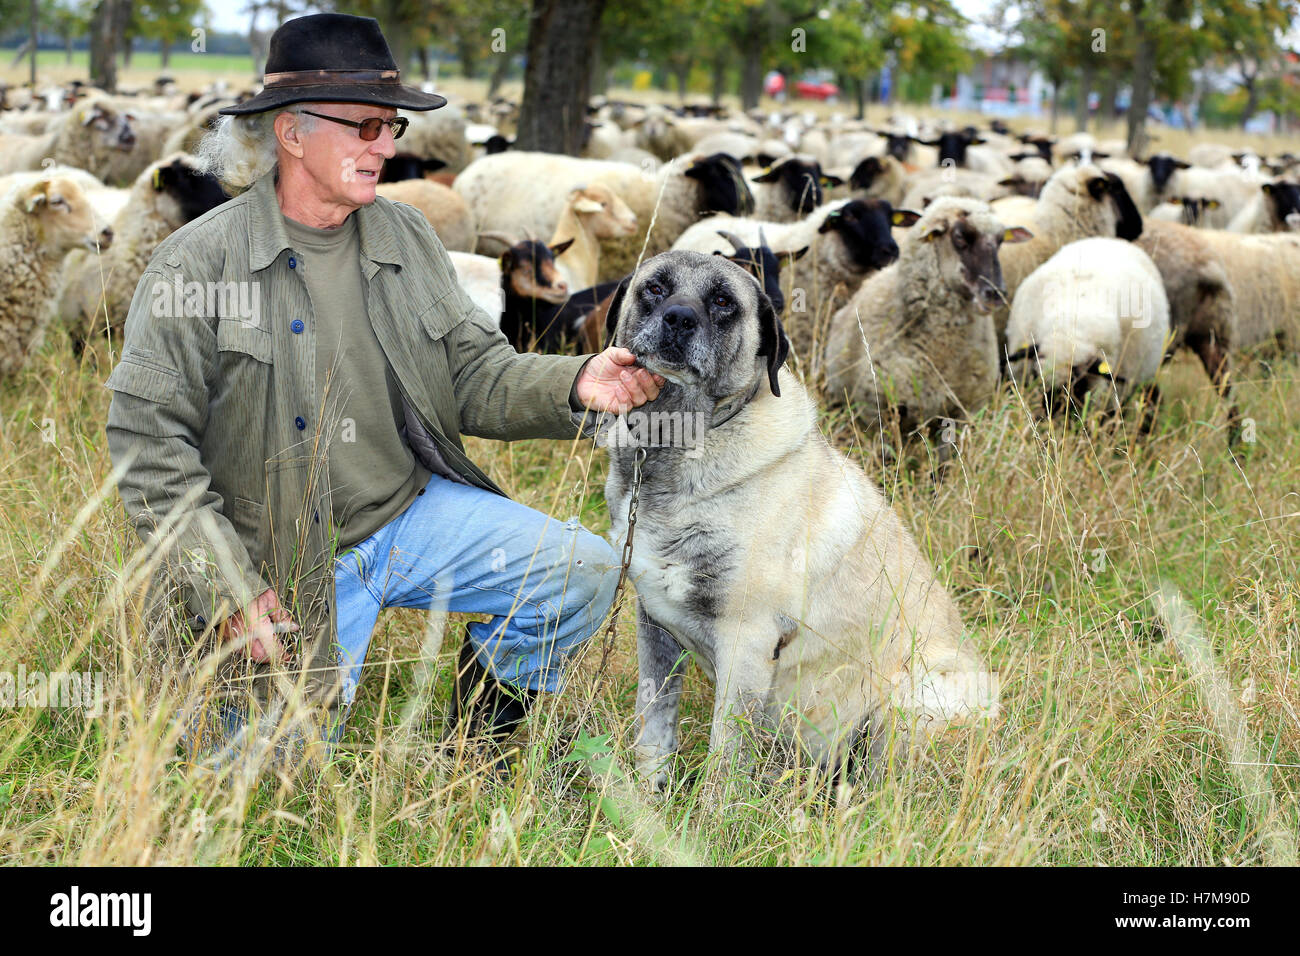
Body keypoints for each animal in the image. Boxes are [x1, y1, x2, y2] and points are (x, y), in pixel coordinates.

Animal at [595, 251, 998, 790]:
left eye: (723, 301)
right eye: (655, 288)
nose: (678, 318)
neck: (674, 443)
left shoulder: (746, 640)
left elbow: (726, 752)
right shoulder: (655, 626)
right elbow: (654, 724)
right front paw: (650, 794)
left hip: (916, 695)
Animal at [826, 196, 1029, 455]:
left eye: (1000, 241)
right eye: (960, 237)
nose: (995, 293)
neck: (942, 352)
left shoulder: (964, 410)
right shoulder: (878, 411)